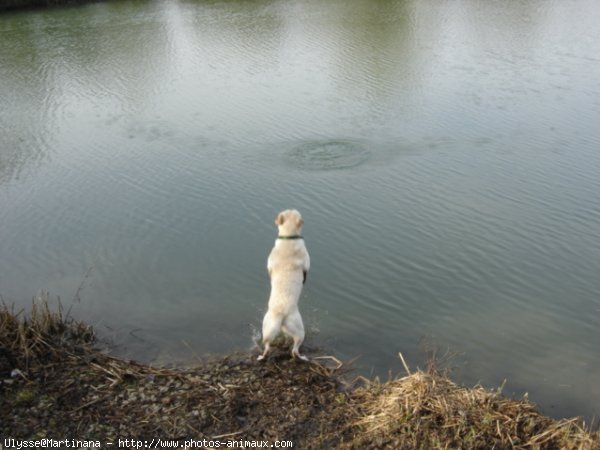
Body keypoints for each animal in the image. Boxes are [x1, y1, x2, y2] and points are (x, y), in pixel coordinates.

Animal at [258, 209, 312, 360]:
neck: (289, 237)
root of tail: (281, 314)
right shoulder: (307, 263)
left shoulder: (269, 263)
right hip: (299, 330)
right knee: (295, 349)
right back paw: (301, 356)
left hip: (268, 326)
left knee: (267, 345)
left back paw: (263, 356)